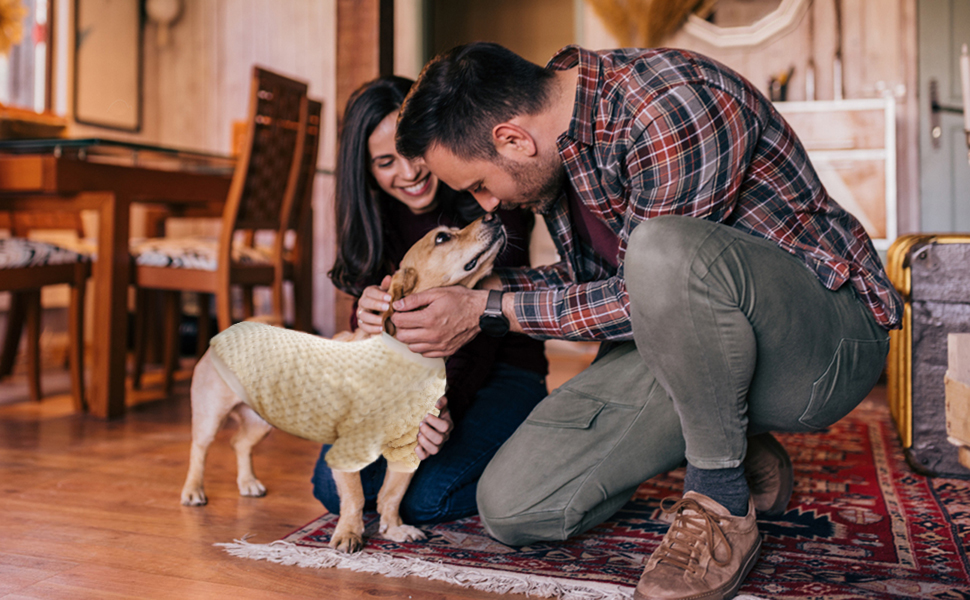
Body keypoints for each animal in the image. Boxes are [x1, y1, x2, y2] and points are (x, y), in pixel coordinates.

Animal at [180, 212, 506, 552]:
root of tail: (229, 329)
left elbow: (393, 495)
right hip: (210, 416)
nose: (493, 214)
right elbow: (355, 497)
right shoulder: (347, 451)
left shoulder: (409, 447)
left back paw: (248, 482)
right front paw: (349, 533)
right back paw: (193, 491)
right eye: (442, 237)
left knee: (239, 444)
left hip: (260, 422)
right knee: (199, 451)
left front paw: (393, 530)